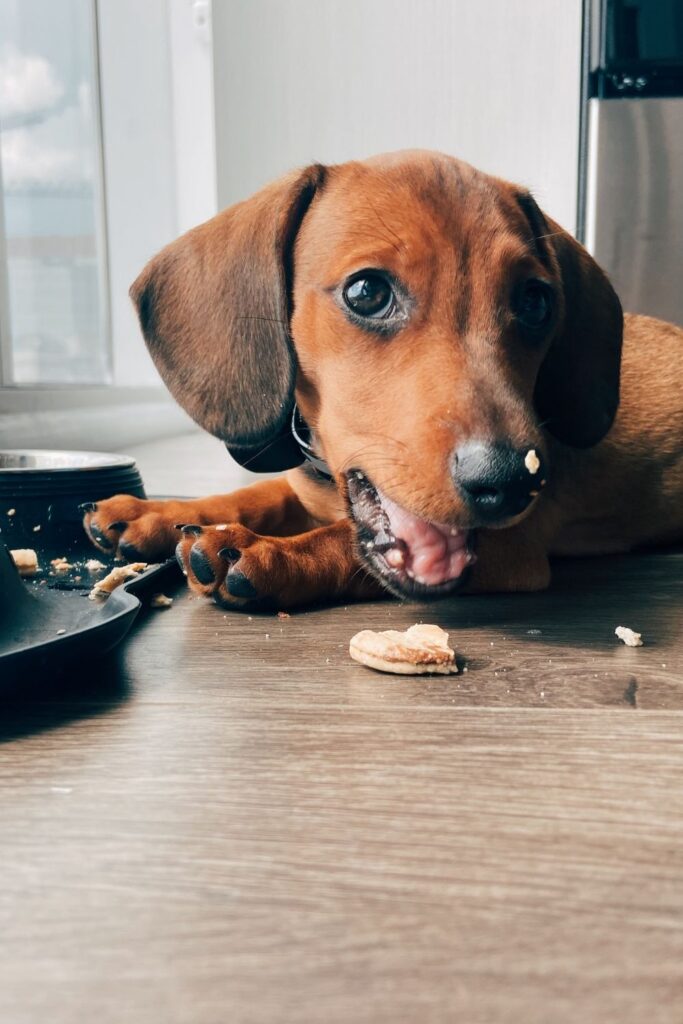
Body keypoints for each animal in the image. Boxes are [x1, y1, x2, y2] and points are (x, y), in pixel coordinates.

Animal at [83, 151, 683, 606]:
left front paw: (267, 552)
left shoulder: (515, 546)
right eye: (367, 292)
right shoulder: (303, 484)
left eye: (536, 303)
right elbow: (253, 494)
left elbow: (341, 542)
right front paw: (152, 513)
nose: (513, 481)